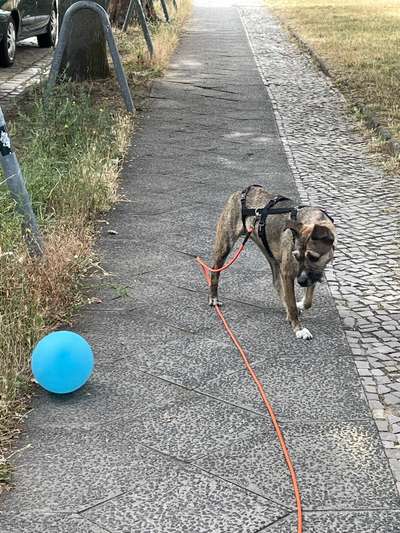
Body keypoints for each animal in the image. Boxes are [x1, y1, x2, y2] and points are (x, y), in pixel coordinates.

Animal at [208, 185, 336, 338]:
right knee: (215, 271)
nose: (301, 282)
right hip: (225, 244)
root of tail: (243, 191)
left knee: (276, 283)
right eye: (297, 256)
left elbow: (308, 301)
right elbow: (292, 303)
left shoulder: (313, 272)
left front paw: (300, 304)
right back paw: (214, 298)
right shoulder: (288, 274)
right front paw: (298, 328)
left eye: (313, 257)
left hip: (270, 254)